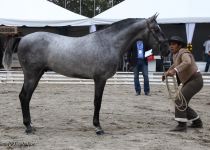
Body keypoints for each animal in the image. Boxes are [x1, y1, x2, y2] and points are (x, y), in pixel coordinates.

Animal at [2, 14, 170, 135]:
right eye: (156, 29)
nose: (167, 50)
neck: (108, 43)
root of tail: (23, 38)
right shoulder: (100, 79)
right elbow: (97, 102)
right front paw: (98, 127)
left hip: (36, 75)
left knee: (25, 97)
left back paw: (30, 124)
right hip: (31, 75)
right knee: (24, 97)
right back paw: (28, 127)